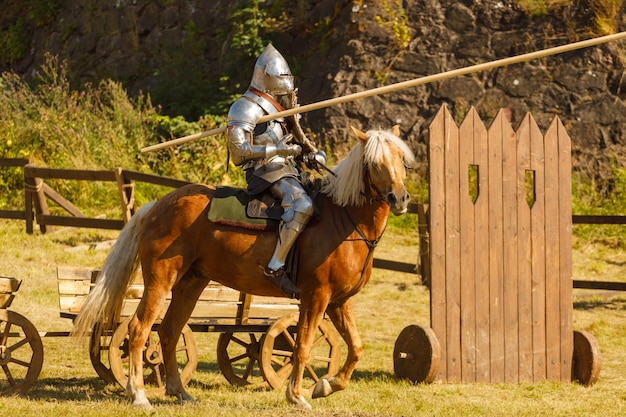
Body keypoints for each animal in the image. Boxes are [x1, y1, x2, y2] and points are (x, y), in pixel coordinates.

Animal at [73, 124, 414, 410]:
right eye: (375, 163)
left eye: (401, 159)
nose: (399, 198)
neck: (344, 219)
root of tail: (156, 206)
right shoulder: (316, 298)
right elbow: (302, 345)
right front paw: (297, 396)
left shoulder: (339, 302)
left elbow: (356, 347)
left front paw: (326, 386)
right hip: (160, 280)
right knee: (138, 330)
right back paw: (139, 395)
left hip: (191, 284)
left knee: (169, 332)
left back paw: (179, 391)